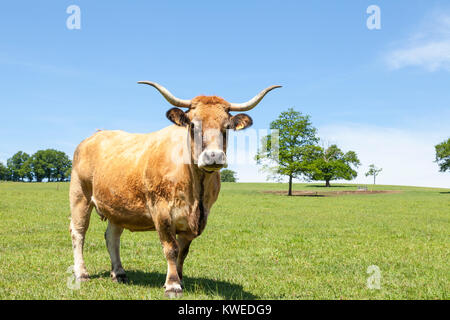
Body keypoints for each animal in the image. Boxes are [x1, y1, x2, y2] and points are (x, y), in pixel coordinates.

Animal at [68, 81, 280, 296]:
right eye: (193, 125)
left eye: (227, 126)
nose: (214, 156)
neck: (196, 191)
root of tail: (96, 135)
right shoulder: (161, 212)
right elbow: (171, 248)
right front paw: (172, 284)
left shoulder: (198, 219)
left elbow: (183, 252)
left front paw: (180, 279)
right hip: (80, 195)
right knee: (78, 232)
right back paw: (81, 273)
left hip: (118, 207)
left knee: (112, 237)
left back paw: (119, 273)